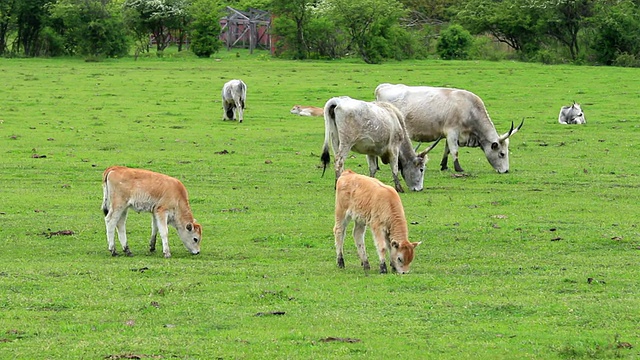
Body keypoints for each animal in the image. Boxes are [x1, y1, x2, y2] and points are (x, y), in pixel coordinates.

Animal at [378, 84, 524, 174]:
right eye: (502, 154)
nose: (506, 171)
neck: (470, 109)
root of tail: (383, 86)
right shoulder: (452, 131)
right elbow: (454, 150)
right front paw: (458, 168)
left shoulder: (450, 134)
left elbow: (447, 150)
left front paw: (444, 166)